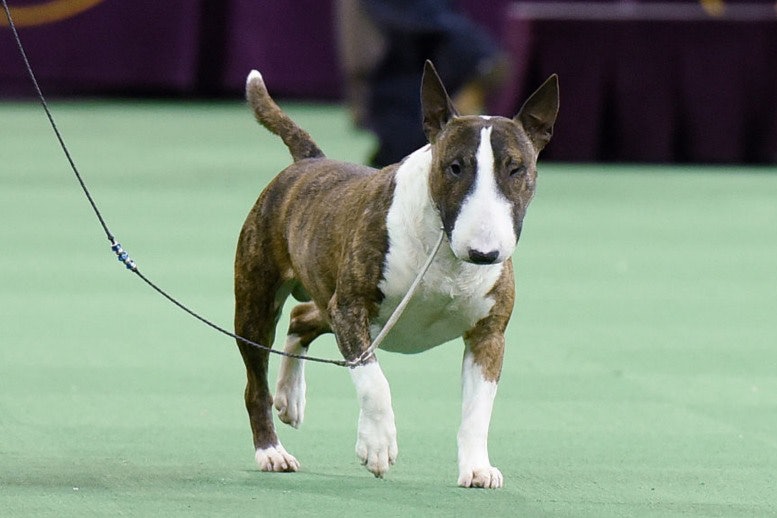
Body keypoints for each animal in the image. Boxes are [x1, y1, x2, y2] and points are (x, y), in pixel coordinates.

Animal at [233, 62, 556, 492]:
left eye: (515, 168)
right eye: (455, 166)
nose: (484, 254)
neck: (445, 253)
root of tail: (309, 162)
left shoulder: (488, 335)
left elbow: (478, 409)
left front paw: (477, 469)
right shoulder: (352, 309)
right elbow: (374, 382)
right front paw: (377, 446)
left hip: (323, 295)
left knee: (303, 316)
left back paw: (290, 396)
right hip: (258, 298)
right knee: (256, 381)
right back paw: (271, 451)